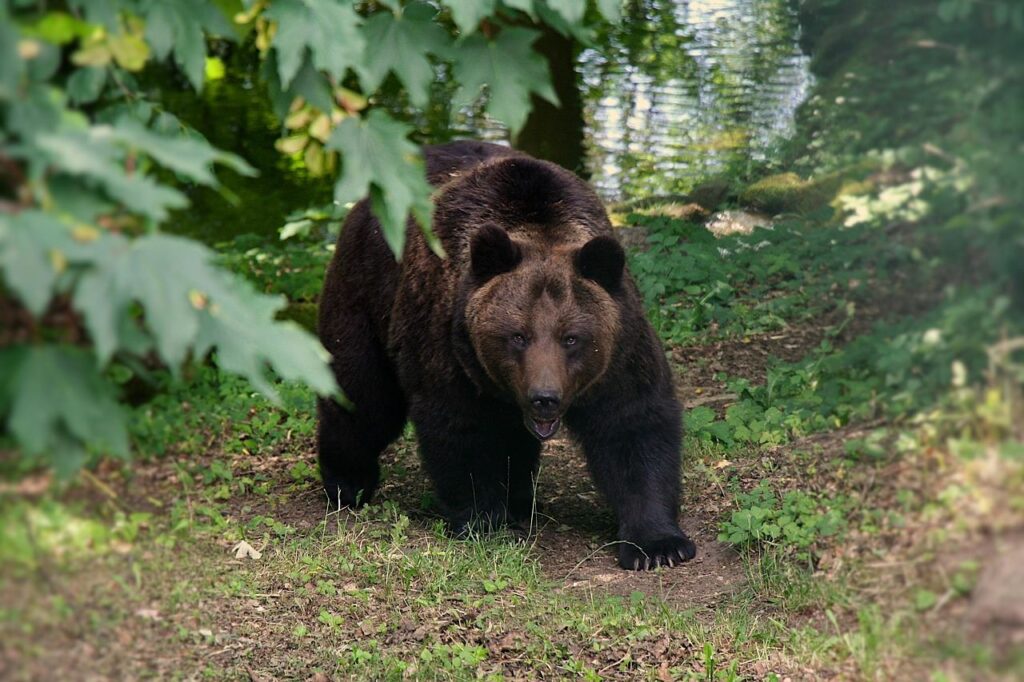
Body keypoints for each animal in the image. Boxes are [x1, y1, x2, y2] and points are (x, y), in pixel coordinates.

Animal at [316, 140, 696, 570]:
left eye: (571, 338)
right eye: (518, 335)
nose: (545, 398)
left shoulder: (619, 351)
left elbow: (633, 425)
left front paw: (659, 544)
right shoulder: (450, 346)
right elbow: (462, 429)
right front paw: (482, 519)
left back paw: (519, 501)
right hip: (367, 293)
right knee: (363, 397)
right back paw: (347, 482)